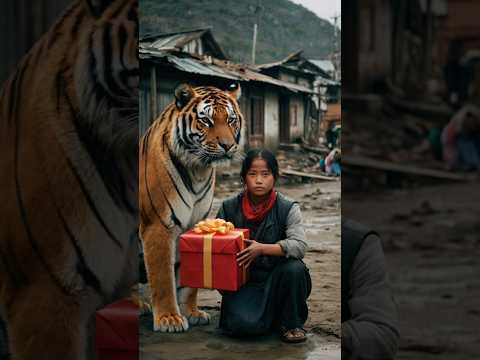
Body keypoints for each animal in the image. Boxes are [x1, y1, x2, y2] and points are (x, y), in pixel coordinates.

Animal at [139, 83, 244, 334]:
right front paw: (169, 319)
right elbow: (163, 277)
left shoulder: (194, 224)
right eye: (206, 120)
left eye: (231, 119)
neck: (198, 170)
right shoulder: (158, 225)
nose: (228, 146)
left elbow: (189, 279)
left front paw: (192, 312)